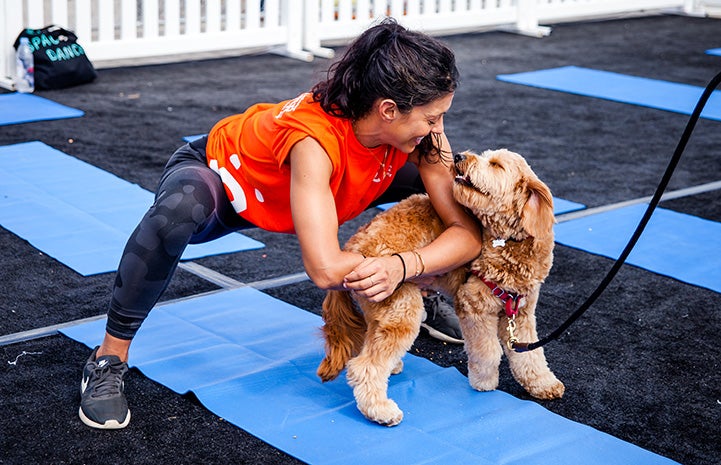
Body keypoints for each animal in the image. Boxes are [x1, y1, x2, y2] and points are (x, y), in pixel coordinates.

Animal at [318, 148, 564, 424]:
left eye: (496, 165)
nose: (459, 156)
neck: (507, 241)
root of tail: (352, 249)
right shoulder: (473, 306)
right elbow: (489, 352)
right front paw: (484, 381)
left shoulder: (521, 312)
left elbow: (531, 355)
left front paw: (543, 384)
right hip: (401, 307)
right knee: (363, 366)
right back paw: (380, 409)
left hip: (382, 308)